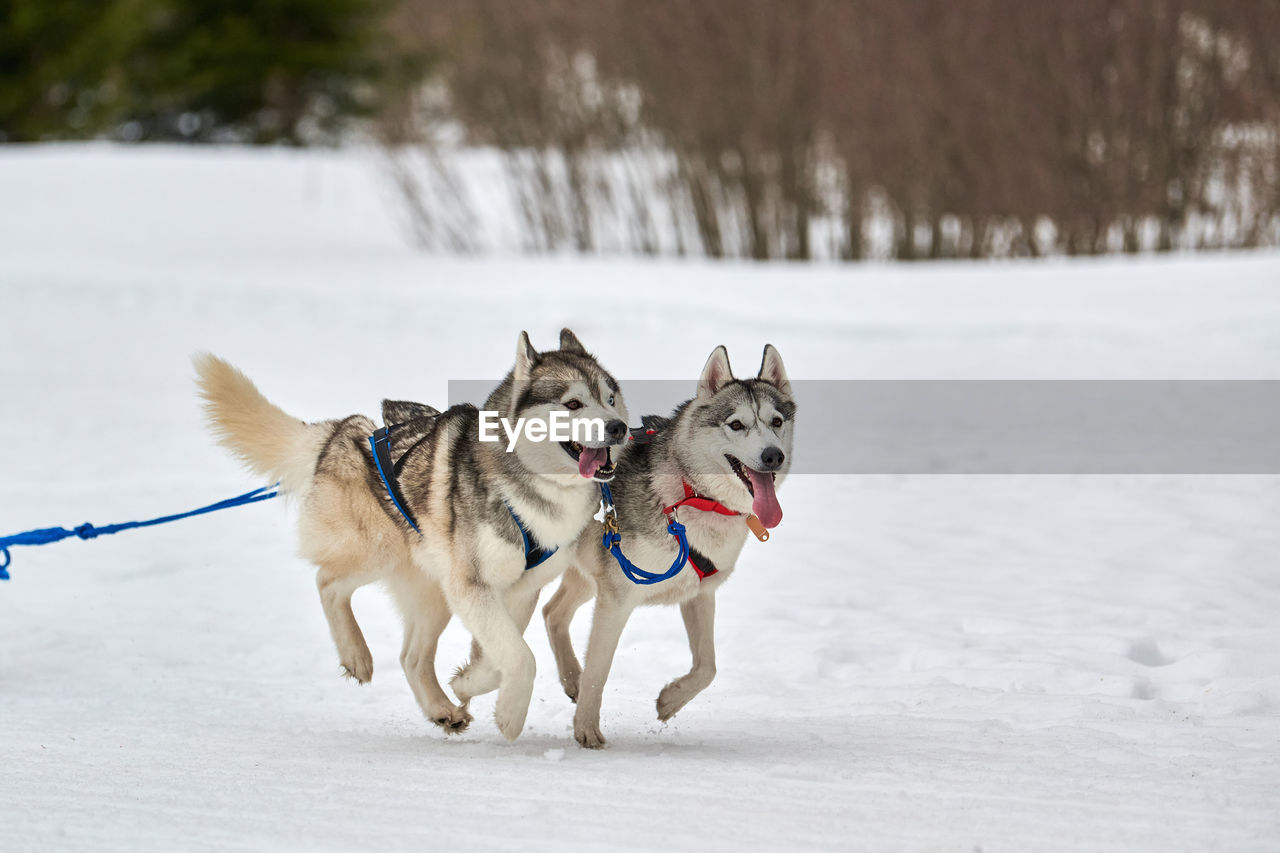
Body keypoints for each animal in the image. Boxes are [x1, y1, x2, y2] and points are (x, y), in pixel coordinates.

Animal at [192, 327, 627, 742]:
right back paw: (356, 655)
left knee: (411, 657)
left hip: (433, 592)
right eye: (573, 404)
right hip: (377, 551)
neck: (537, 488)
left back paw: (442, 709)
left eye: (609, 398)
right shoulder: (471, 586)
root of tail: (344, 433)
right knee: (327, 582)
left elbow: (499, 655)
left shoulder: (518, 589)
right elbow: (521, 657)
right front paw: (509, 716)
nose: (619, 427)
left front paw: (468, 682)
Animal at [537, 343, 788, 742]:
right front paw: (587, 729)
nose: (772, 455)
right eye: (736, 424)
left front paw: (670, 700)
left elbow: (707, 667)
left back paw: (570, 678)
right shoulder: (617, 598)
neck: (691, 496)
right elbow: (599, 672)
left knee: (552, 613)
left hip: (585, 576)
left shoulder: (700, 593)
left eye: (777, 421)